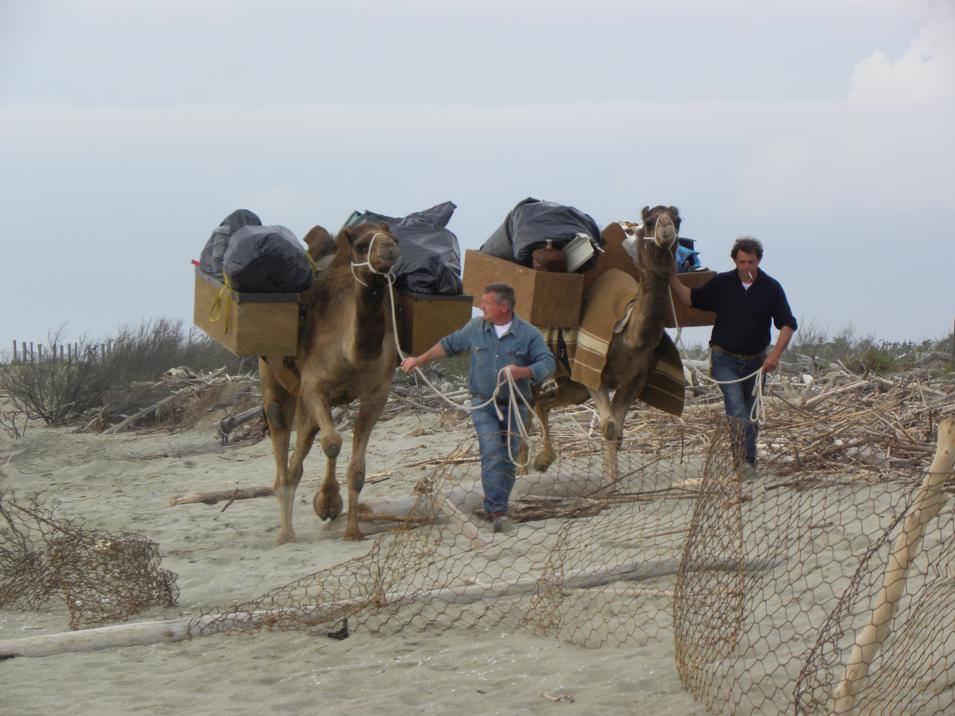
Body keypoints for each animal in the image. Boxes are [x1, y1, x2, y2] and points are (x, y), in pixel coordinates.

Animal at [258, 222, 400, 544]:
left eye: (396, 238)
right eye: (361, 246)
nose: (390, 250)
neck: (352, 352)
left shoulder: (376, 393)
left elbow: (357, 469)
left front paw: (352, 530)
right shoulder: (314, 385)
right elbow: (333, 443)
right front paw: (326, 503)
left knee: (304, 442)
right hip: (273, 379)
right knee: (280, 429)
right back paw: (284, 534)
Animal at [536, 204, 684, 482]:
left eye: (679, 220)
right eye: (649, 221)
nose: (666, 226)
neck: (629, 338)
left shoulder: (636, 378)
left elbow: (618, 430)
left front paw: (613, 477)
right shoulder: (593, 371)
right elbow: (608, 426)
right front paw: (610, 480)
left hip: (572, 383)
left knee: (541, 401)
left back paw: (539, 460)